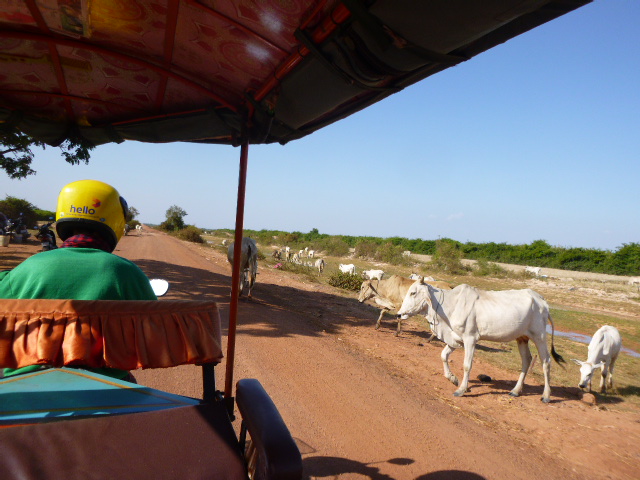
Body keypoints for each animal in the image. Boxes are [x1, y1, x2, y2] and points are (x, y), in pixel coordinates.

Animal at [397, 280, 565, 402]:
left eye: (413, 292)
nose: (399, 314)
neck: (450, 305)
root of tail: (541, 300)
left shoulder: (470, 338)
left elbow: (467, 365)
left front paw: (461, 389)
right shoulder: (456, 338)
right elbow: (443, 356)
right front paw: (453, 379)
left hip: (539, 336)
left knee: (546, 361)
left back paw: (546, 395)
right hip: (522, 338)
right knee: (526, 360)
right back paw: (516, 391)